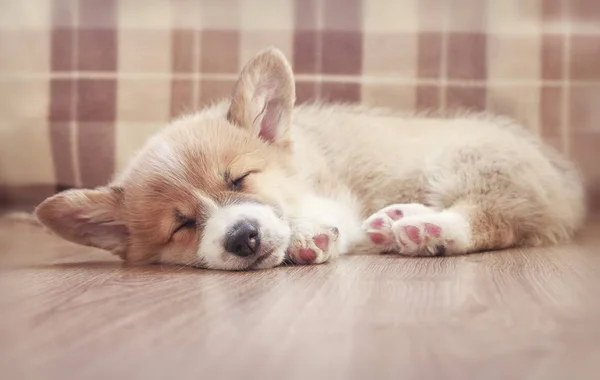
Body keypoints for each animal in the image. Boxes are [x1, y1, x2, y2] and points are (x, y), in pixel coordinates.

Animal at [34, 47, 584, 270]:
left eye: (239, 180)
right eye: (181, 225)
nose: (242, 237)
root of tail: (565, 177)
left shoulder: (331, 196)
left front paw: (305, 236)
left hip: (472, 162)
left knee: (495, 219)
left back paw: (426, 229)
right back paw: (398, 219)